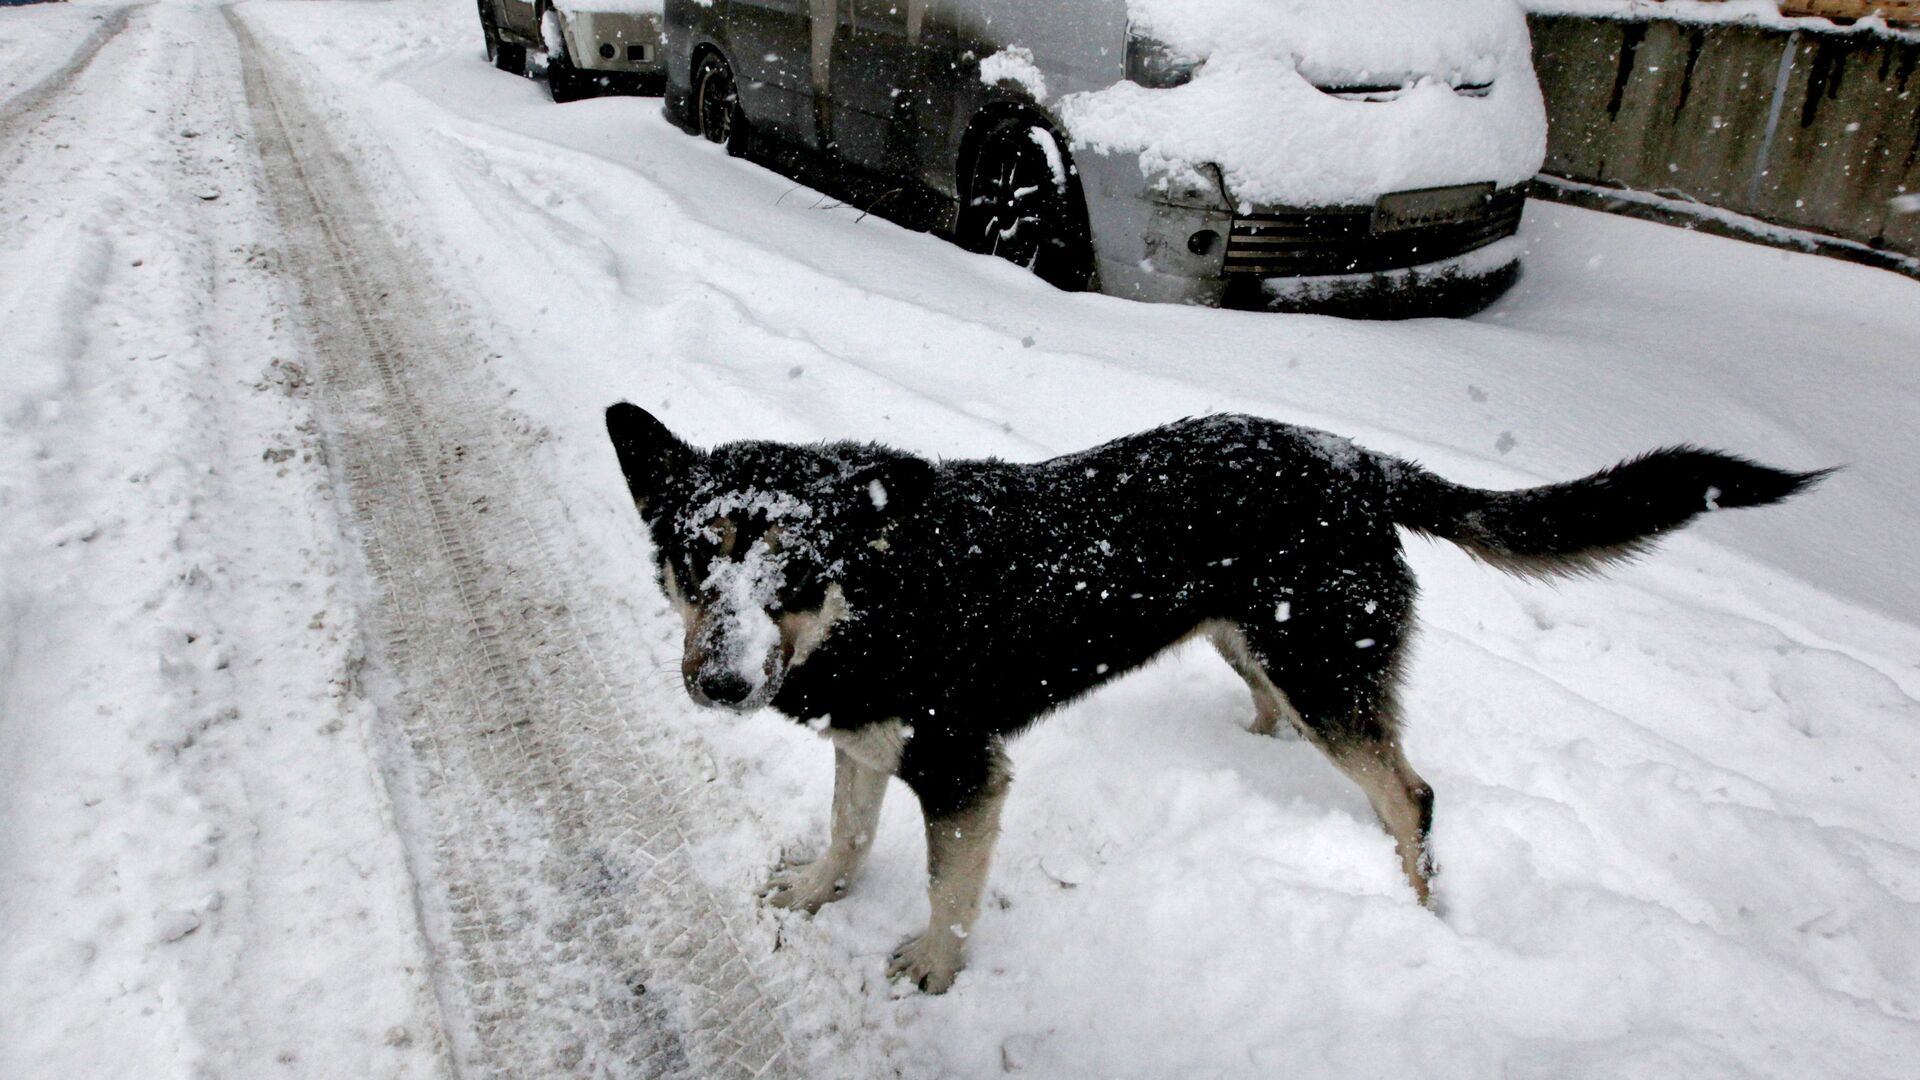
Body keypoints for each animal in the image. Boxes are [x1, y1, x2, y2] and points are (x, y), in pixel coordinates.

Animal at [606, 403, 1820, 991]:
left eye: (792, 577)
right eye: (692, 562)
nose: (720, 682)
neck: (880, 585)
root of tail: (1356, 458)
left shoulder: (962, 771)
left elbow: (949, 894)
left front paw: (935, 970)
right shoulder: (867, 742)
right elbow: (850, 834)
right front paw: (818, 894)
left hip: (1322, 665)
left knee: (1410, 794)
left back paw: (1418, 907)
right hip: (1255, 642)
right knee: (1306, 724)